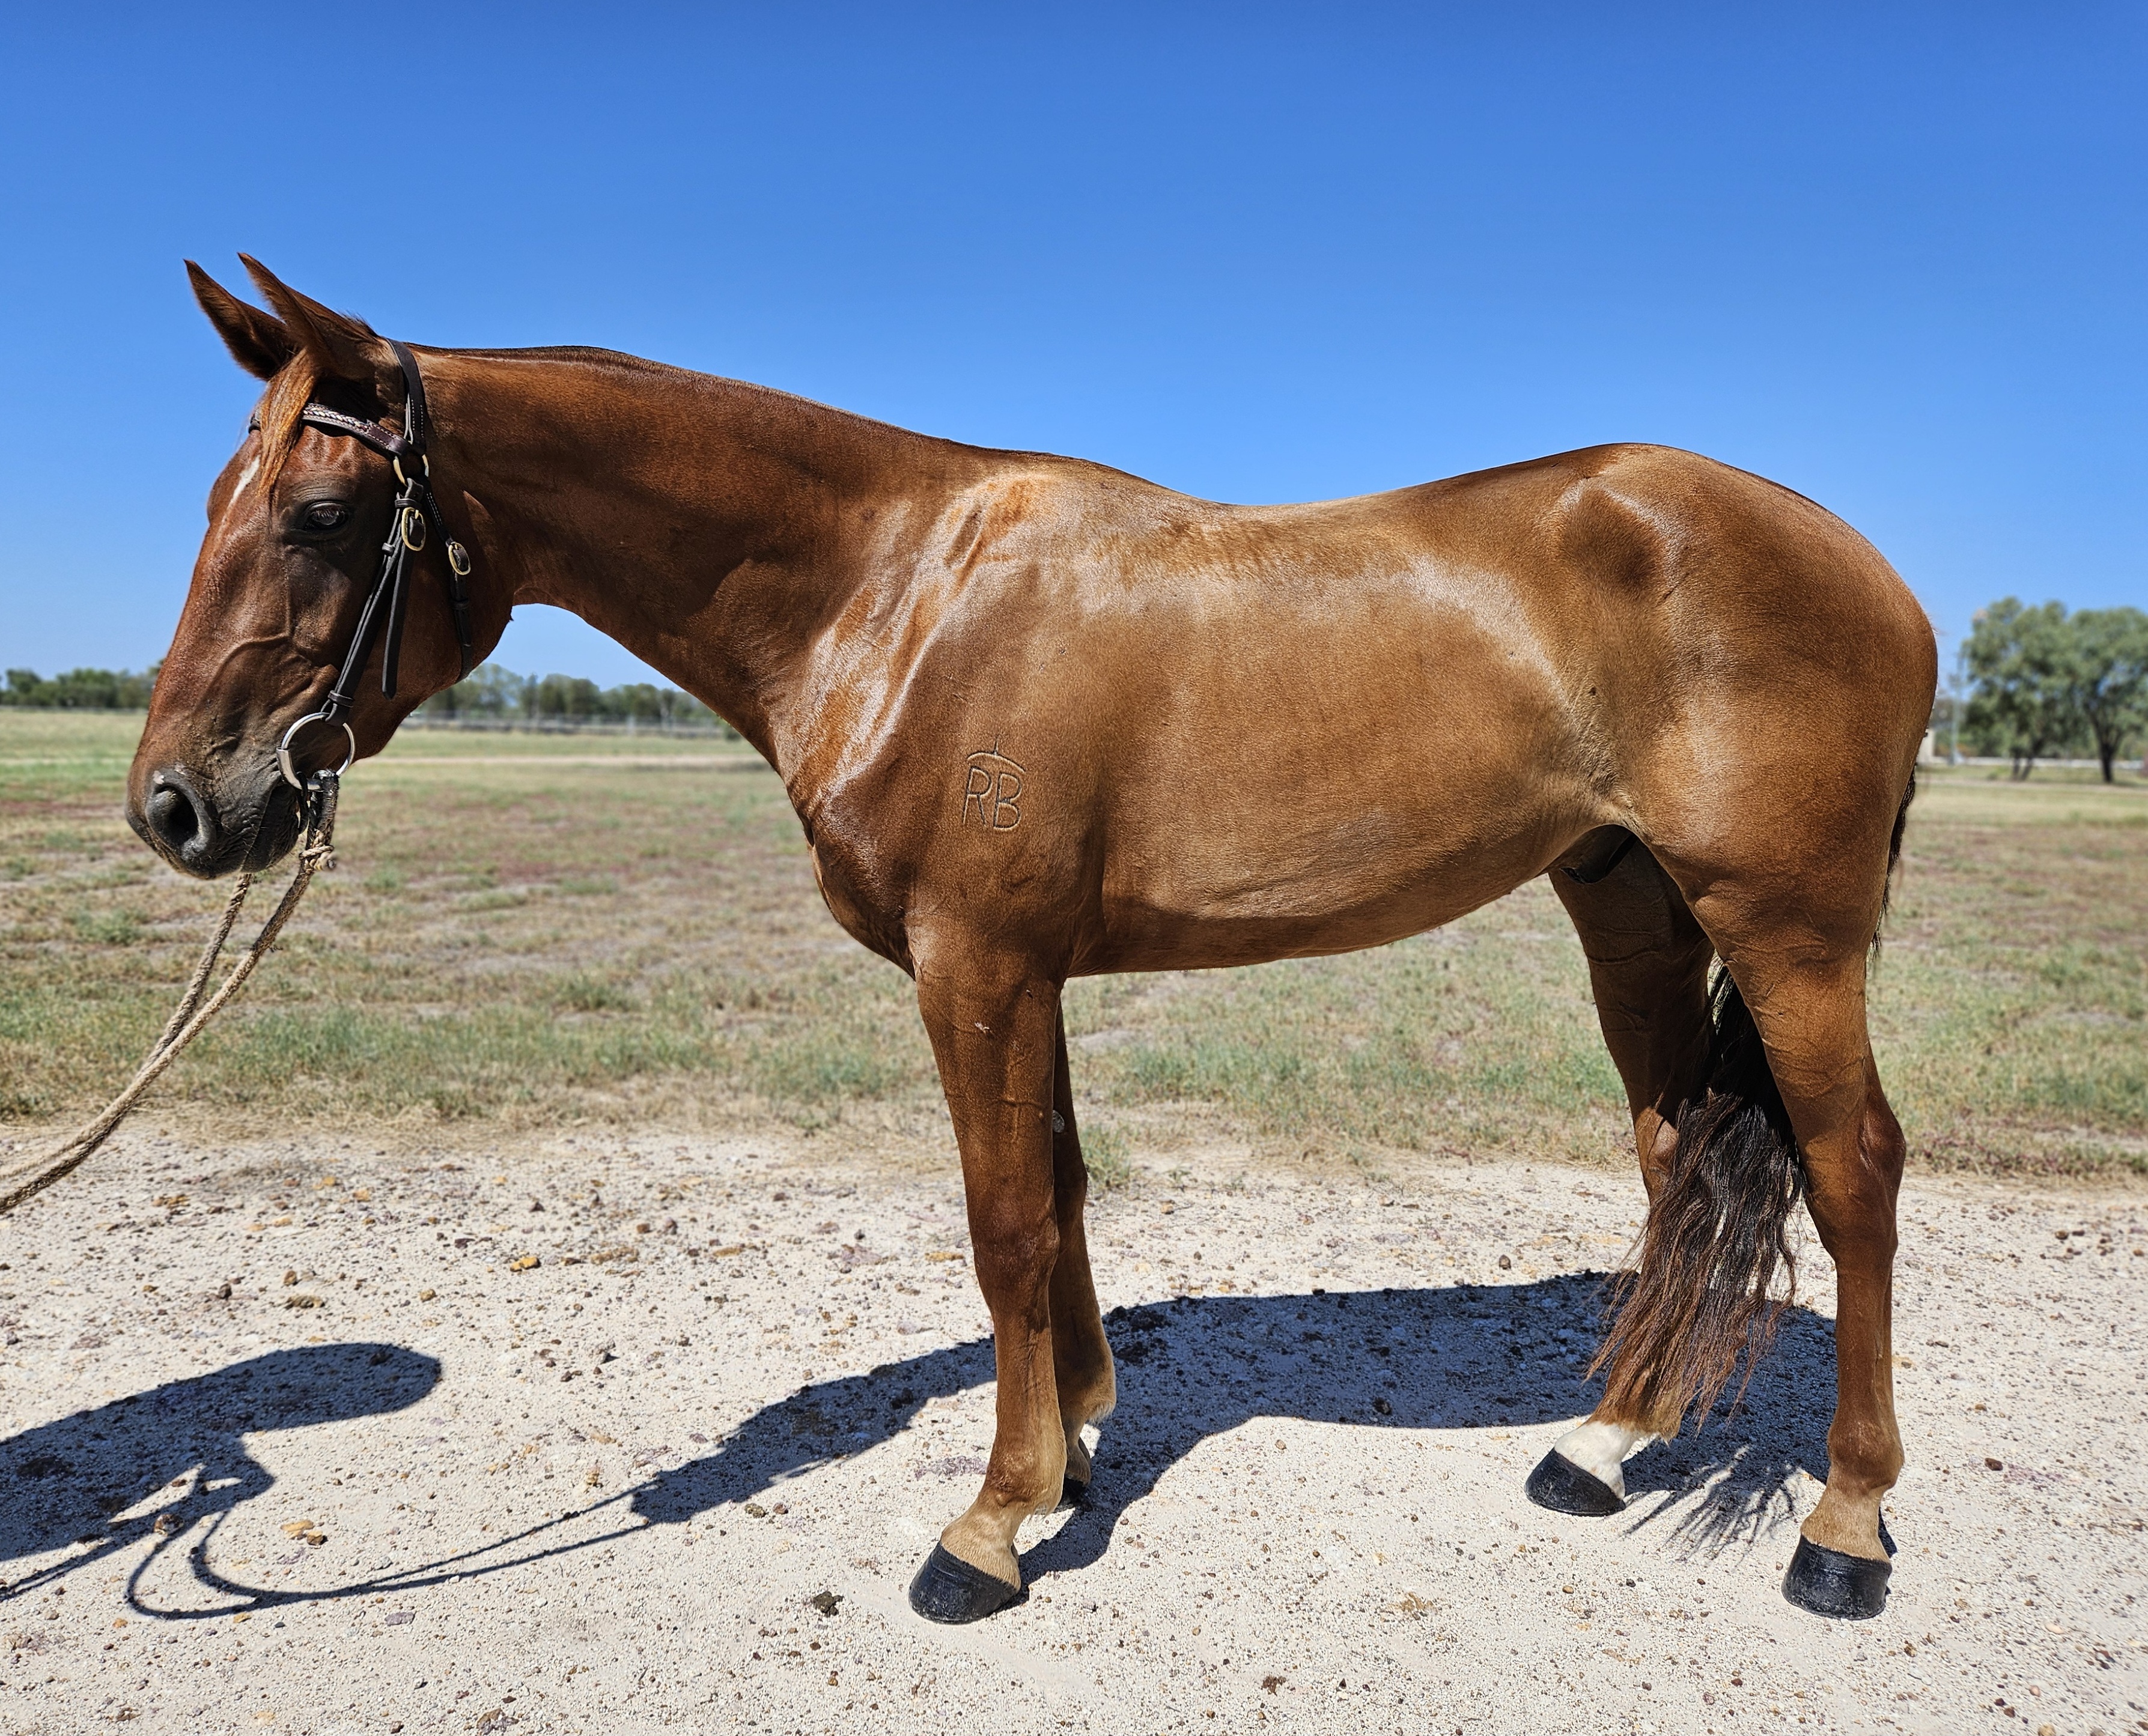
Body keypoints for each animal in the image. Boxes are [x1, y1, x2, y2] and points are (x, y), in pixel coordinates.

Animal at [129, 259, 1935, 1625]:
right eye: (217, 494)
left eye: (315, 512)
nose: (178, 806)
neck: (894, 594)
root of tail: (1872, 569)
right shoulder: (1027, 973)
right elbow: (1057, 1192)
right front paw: (1070, 1448)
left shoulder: (976, 965)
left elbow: (1000, 1222)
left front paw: (988, 1524)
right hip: (1627, 906)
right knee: (1674, 1158)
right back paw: (1602, 1443)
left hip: (1783, 928)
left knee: (1848, 1167)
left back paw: (1842, 1525)